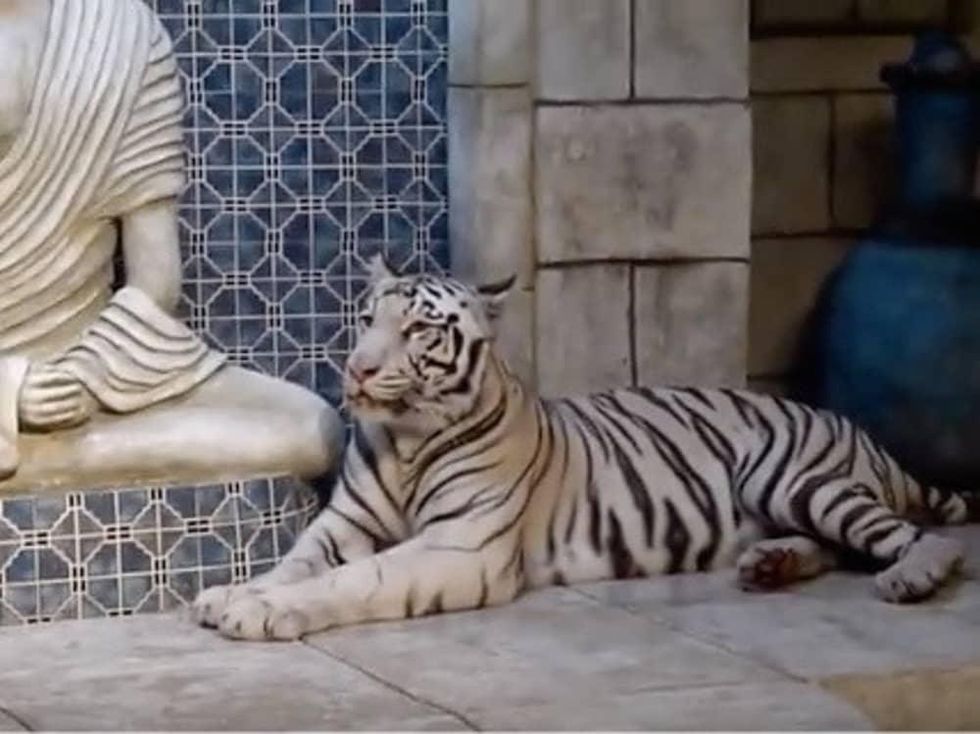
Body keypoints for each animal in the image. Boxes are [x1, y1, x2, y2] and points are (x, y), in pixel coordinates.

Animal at [192, 256, 978, 641]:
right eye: (365, 318)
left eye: (416, 330)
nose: (356, 369)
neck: (408, 439)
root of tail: (854, 427)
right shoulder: (343, 525)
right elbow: (296, 564)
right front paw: (236, 592)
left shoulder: (461, 547)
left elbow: (355, 581)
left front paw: (258, 611)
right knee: (841, 545)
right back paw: (769, 563)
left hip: (793, 478)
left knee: (921, 538)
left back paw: (910, 577)